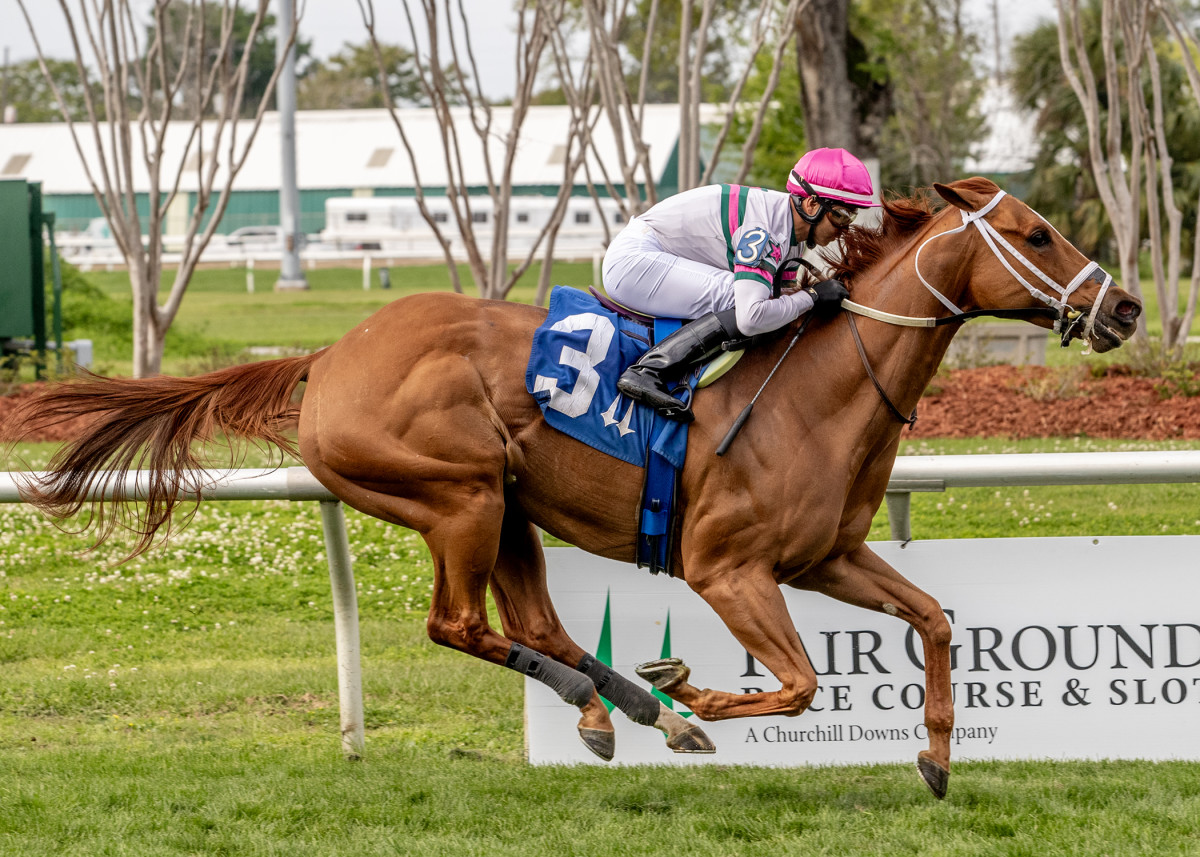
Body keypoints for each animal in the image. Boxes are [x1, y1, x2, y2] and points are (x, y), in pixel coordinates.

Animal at [4, 176, 1137, 796]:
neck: (813, 391)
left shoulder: (828, 557)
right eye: (1037, 234)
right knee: (461, 623)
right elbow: (802, 682)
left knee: (537, 625)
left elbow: (934, 619)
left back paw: (626, 710)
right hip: (458, 492)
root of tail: (327, 355)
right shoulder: (727, 567)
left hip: (508, 505)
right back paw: (640, 707)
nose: (1123, 306)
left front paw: (938, 757)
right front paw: (704, 691)